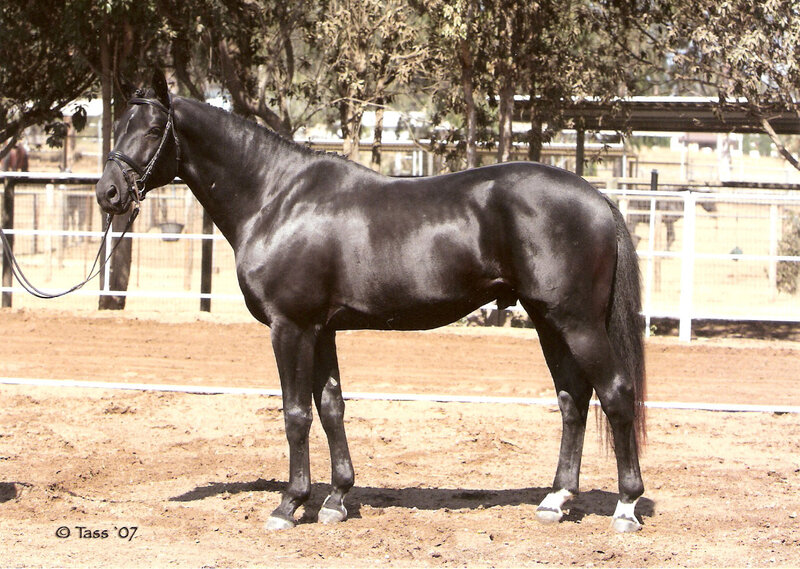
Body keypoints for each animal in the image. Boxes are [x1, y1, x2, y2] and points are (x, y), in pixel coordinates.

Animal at [95, 70, 647, 533]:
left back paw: (625, 507)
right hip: (548, 321)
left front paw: (289, 505)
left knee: (615, 394)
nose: (108, 193)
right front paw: (336, 500)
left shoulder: (290, 327)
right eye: (118, 125)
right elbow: (330, 407)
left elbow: (295, 413)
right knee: (573, 400)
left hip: (577, 322)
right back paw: (556, 500)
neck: (276, 198)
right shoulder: (321, 329)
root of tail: (597, 198)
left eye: (152, 130)